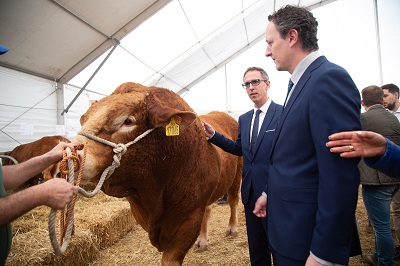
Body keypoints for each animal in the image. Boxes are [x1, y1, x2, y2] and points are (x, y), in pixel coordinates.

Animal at [75, 82, 244, 264]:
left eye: (128, 121)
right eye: (83, 119)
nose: (71, 152)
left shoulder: (189, 220)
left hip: (237, 174)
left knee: (233, 200)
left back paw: (232, 228)